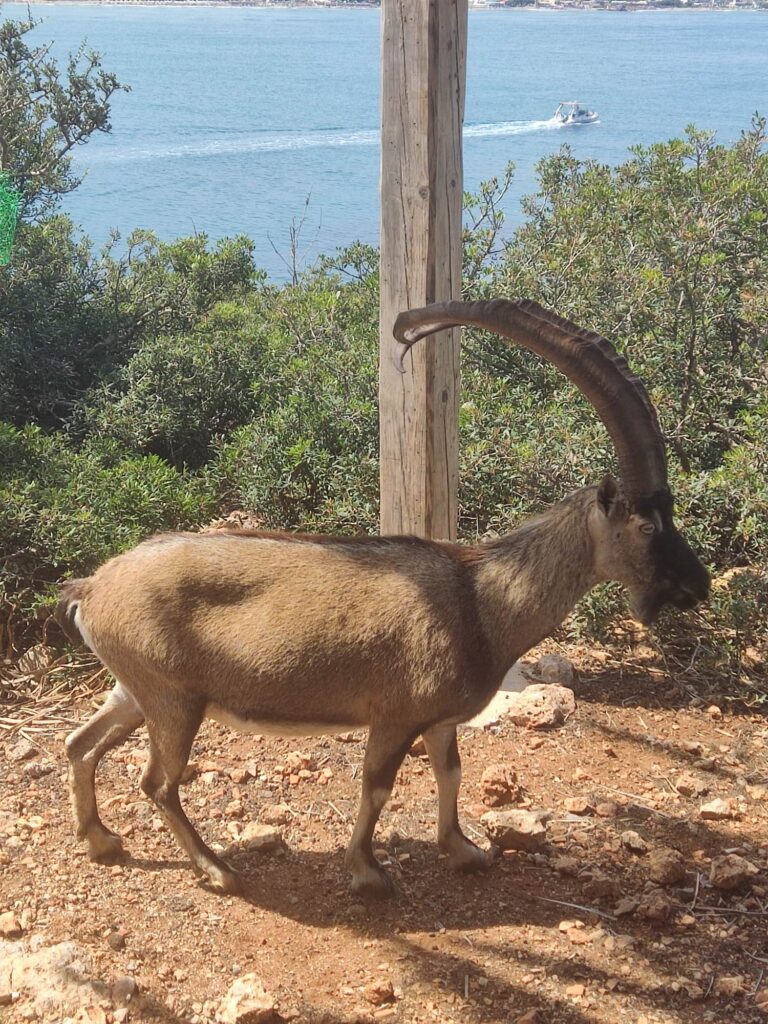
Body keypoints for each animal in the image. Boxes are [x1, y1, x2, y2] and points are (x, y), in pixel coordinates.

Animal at [58, 296, 708, 897]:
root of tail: (92, 587)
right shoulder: (395, 715)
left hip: (136, 690)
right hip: (174, 700)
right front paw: (368, 873)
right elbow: (377, 785)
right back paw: (217, 869)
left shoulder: (439, 720)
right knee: (157, 782)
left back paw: (101, 840)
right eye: (646, 525)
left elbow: (451, 771)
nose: (697, 586)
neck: (480, 601)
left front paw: (464, 850)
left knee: (80, 744)